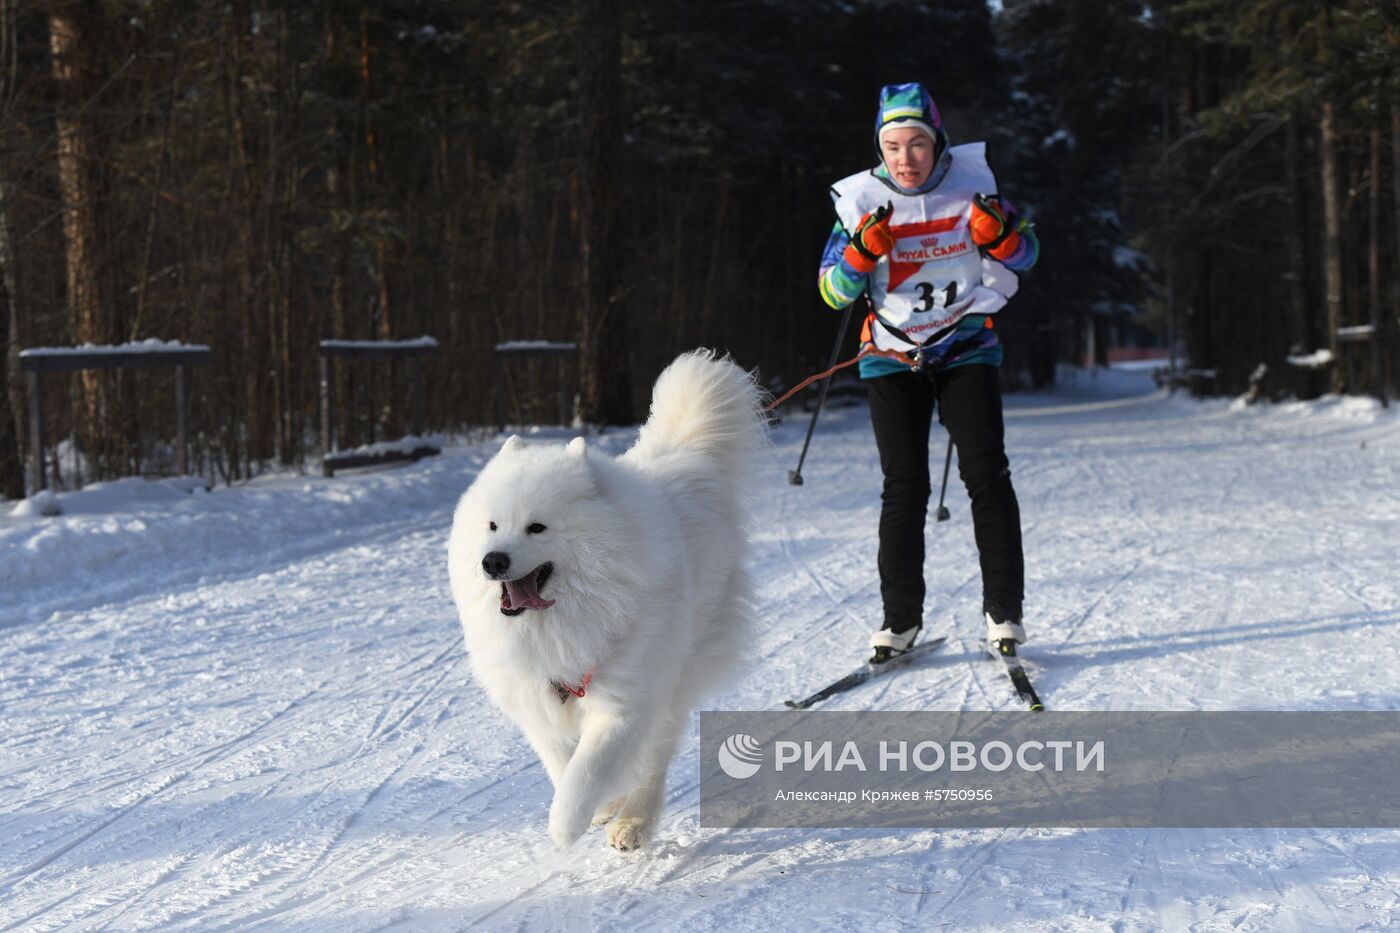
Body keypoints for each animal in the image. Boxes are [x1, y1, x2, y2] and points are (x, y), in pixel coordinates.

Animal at [448, 350, 767, 851]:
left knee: (655, 760)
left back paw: (632, 823)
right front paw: (596, 807)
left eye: (537, 528)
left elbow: (588, 768)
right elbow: (561, 761)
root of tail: (687, 458)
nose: (493, 561)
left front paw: (567, 824)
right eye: (493, 525)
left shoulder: (625, 698)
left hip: (676, 674)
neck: (556, 621)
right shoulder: (535, 699)